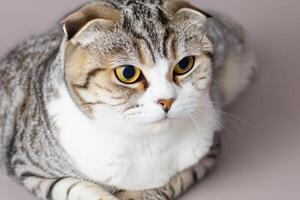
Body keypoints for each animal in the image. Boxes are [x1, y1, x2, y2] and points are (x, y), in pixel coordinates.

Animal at [0, 0, 258, 200]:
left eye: (184, 64)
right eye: (127, 73)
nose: (166, 101)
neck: (145, 141)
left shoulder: (207, 151)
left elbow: (171, 181)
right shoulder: (28, 166)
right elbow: (72, 187)